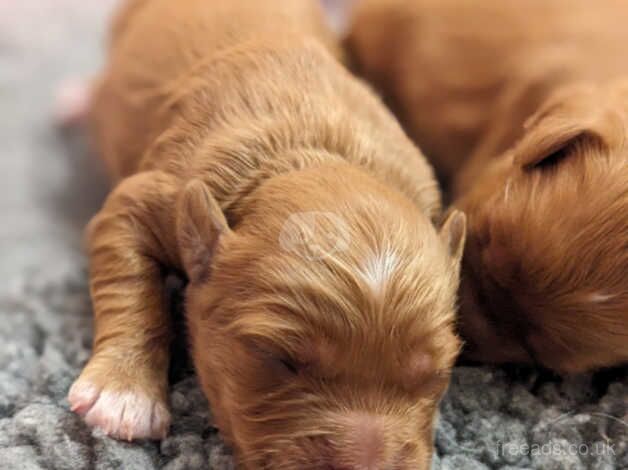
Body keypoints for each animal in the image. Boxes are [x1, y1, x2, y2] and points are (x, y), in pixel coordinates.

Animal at [67, 1, 466, 468]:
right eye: (279, 358)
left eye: (434, 374)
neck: (313, 154)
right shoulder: (157, 197)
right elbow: (129, 282)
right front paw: (122, 395)